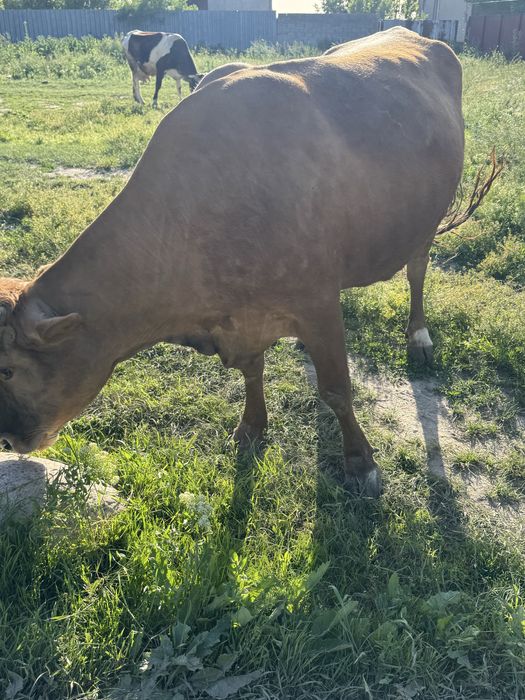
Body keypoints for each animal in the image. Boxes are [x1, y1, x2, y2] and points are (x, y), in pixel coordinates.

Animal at [0, 28, 464, 498]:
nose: (8, 439)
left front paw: (360, 463)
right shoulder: (241, 316)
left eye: (7, 371)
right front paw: (251, 427)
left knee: (417, 269)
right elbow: (252, 371)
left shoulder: (315, 300)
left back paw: (418, 337)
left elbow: (336, 389)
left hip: (427, 218)